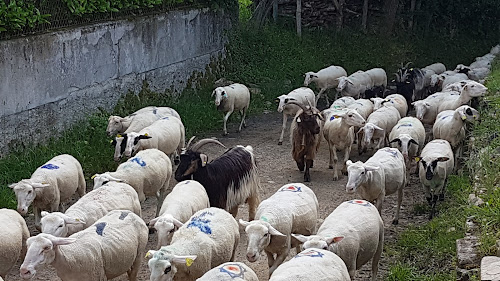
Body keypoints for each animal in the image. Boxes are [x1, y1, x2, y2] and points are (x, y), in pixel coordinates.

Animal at [20, 210, 148, 280]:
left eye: (46, 247)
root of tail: (129, 213)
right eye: (28, 245)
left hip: (139, 254)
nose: (24, 271)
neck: (69, 258)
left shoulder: (99, 277)